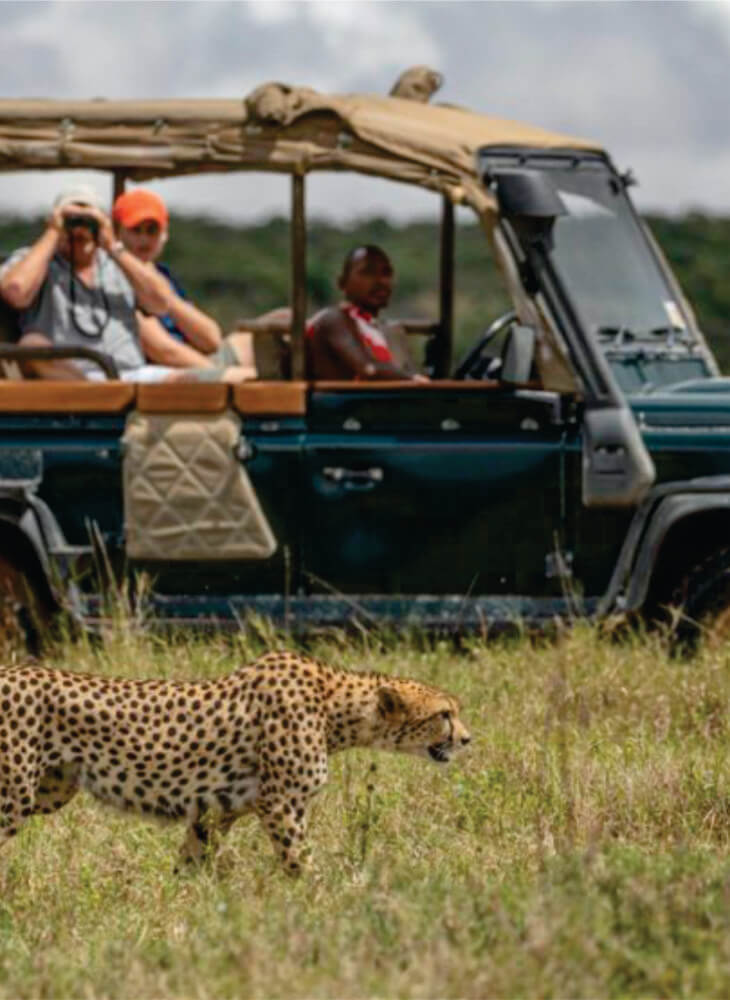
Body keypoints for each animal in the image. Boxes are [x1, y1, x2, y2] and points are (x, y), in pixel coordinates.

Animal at [0, 652, 466, 872]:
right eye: (445, 714)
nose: (467, 739)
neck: (335, 707)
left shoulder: (212, 813)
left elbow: (189, 865)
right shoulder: (280, 805)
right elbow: (299, 861)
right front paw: (324, 906)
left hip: (51, 789)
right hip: (14, 796)